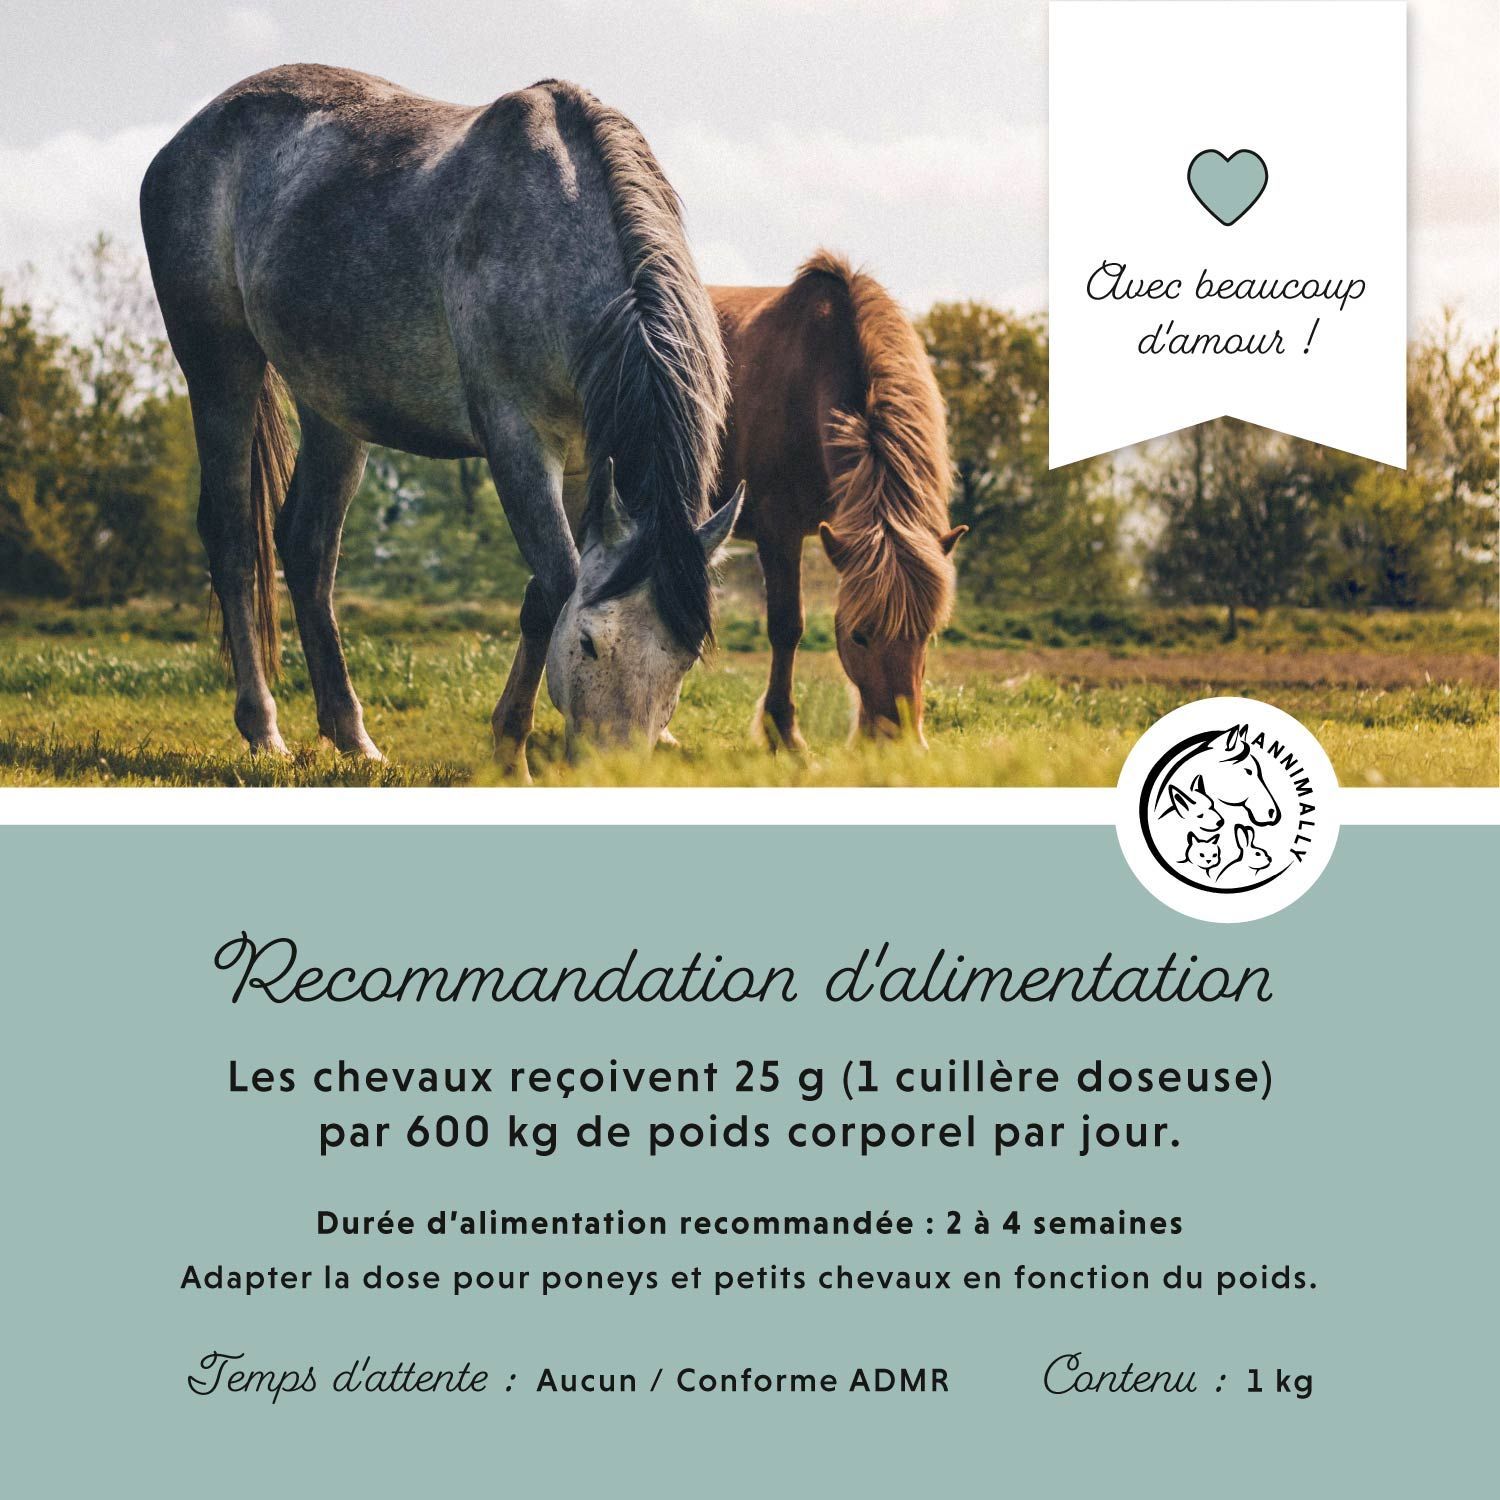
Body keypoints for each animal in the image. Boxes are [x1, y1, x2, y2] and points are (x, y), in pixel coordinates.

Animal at [140, 65, 741, 773]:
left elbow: (544, 594)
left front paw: (507, 744)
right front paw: (511, 754)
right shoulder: (517, 441)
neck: (558, 232)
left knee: (308, 548)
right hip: (219, 368)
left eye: (684, 660)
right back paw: (263, 730)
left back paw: (352, 737)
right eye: (591, 643)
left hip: (331, 406)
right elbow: (557, 583)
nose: (614, 774)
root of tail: (188, 137)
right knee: (234, 540)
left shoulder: (586, 461)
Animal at [709, 253, 964, 748]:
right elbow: (787, 626)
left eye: (926, 635)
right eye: (859, 636)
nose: (898, 743)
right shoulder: (778, 530)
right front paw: (785, 735)